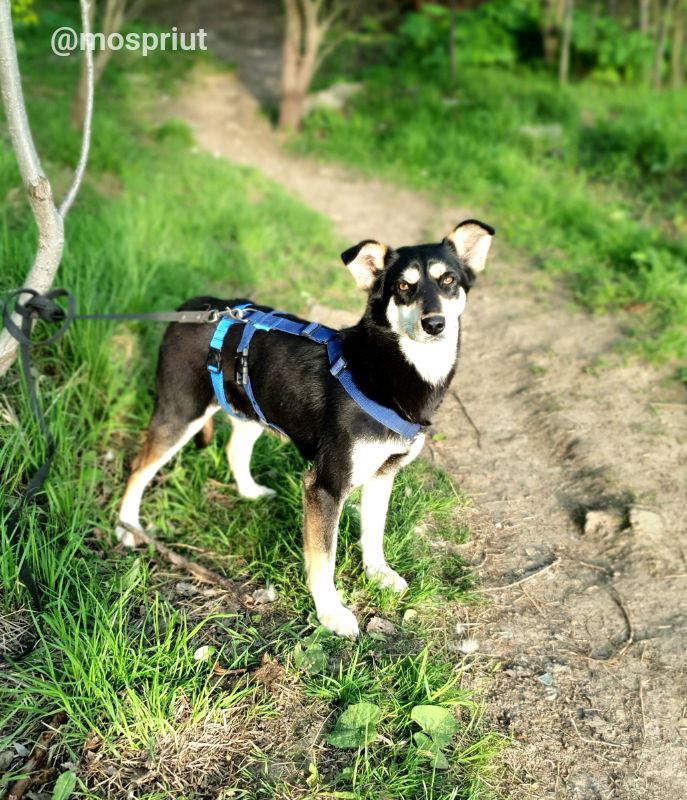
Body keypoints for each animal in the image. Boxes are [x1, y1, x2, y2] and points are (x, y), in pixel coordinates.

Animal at [117, 219, 494, 636]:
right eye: (403, 286)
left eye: (448, 280)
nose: (434, 323)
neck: (386, 371)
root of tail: (193, 307)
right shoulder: (324, 487)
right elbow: (323, 559)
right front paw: (330, 612)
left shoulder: (383, 475)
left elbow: (373, 532)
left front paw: (378, 574)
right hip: (180, 412)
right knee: (139, 468)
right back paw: (127, 526)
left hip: (252, 408)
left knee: (235, 449)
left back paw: (249, 492)